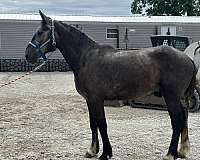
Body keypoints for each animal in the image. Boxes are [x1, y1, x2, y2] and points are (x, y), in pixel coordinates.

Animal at [24, 10, 195, 159]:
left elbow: (102, 124)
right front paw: (92, 150)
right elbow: (93, 124)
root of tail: (188, 58)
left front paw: (105, 153)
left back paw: (170, 154)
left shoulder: (96, 99)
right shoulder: (89, 100)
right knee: (184, 119)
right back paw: (181, 151)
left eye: (40, 32)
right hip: (179, 98)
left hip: (171, 97)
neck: (86, 58)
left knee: (177, 121)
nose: (27, 55)